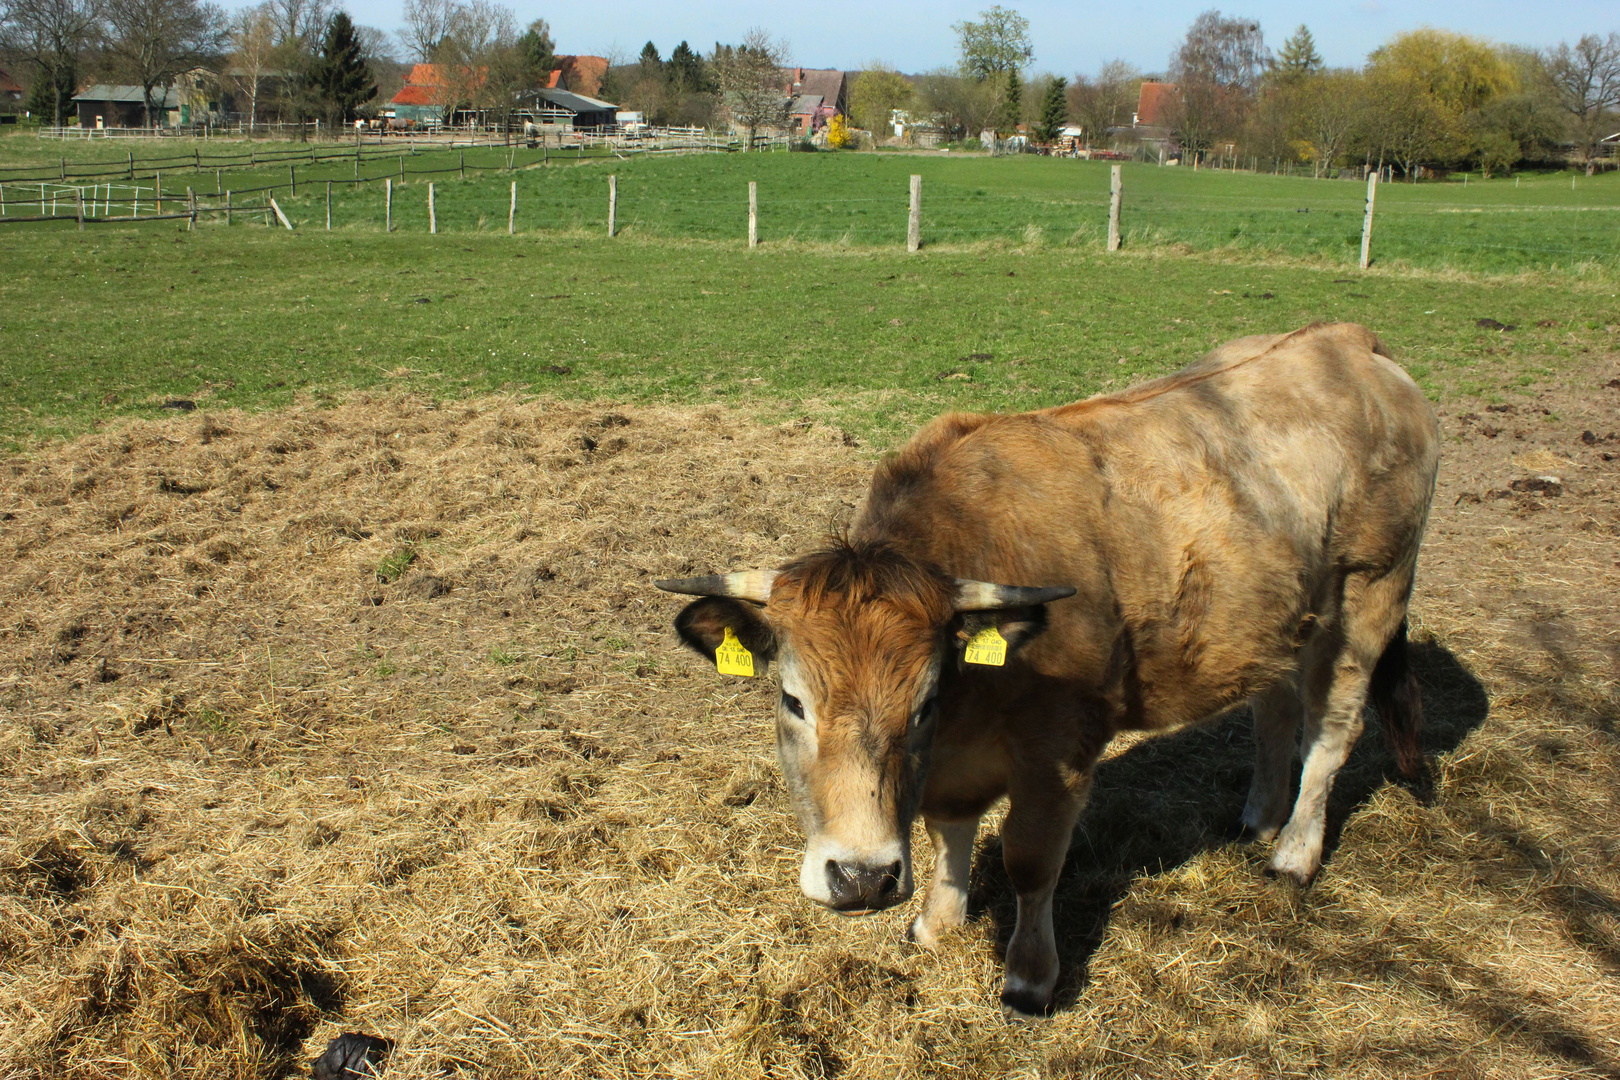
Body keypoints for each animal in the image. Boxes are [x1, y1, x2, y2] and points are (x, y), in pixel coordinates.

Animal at [657, 325, 1445, 1016]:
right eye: (793, 701)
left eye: (924, 701)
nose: (862, 877)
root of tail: (1345, 341)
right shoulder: (955, 768)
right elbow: (949, 833)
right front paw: (936, 924)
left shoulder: (1060, 753)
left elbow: (1031, 862)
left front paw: (1030, 979)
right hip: (1280, 615)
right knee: (1274, 710)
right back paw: (1258, 820)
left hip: (1371, 593)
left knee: (1331, 730)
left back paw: (1294, 853)